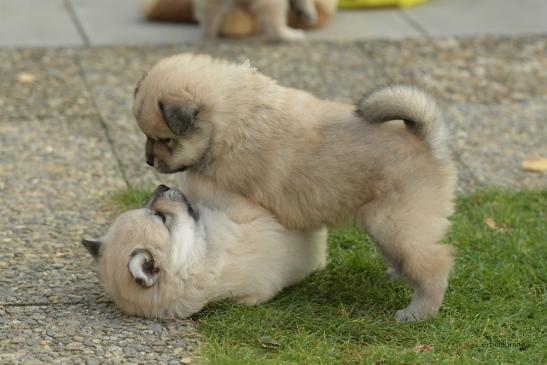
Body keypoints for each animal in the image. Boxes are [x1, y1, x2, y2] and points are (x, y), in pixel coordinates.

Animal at [133, 54, 458, 322]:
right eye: (148, 137)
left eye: (165, 140)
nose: (148, 160)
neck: (232, 118)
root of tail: (425, 142)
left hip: (392, 221)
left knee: (434, 264)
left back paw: (417, 312)